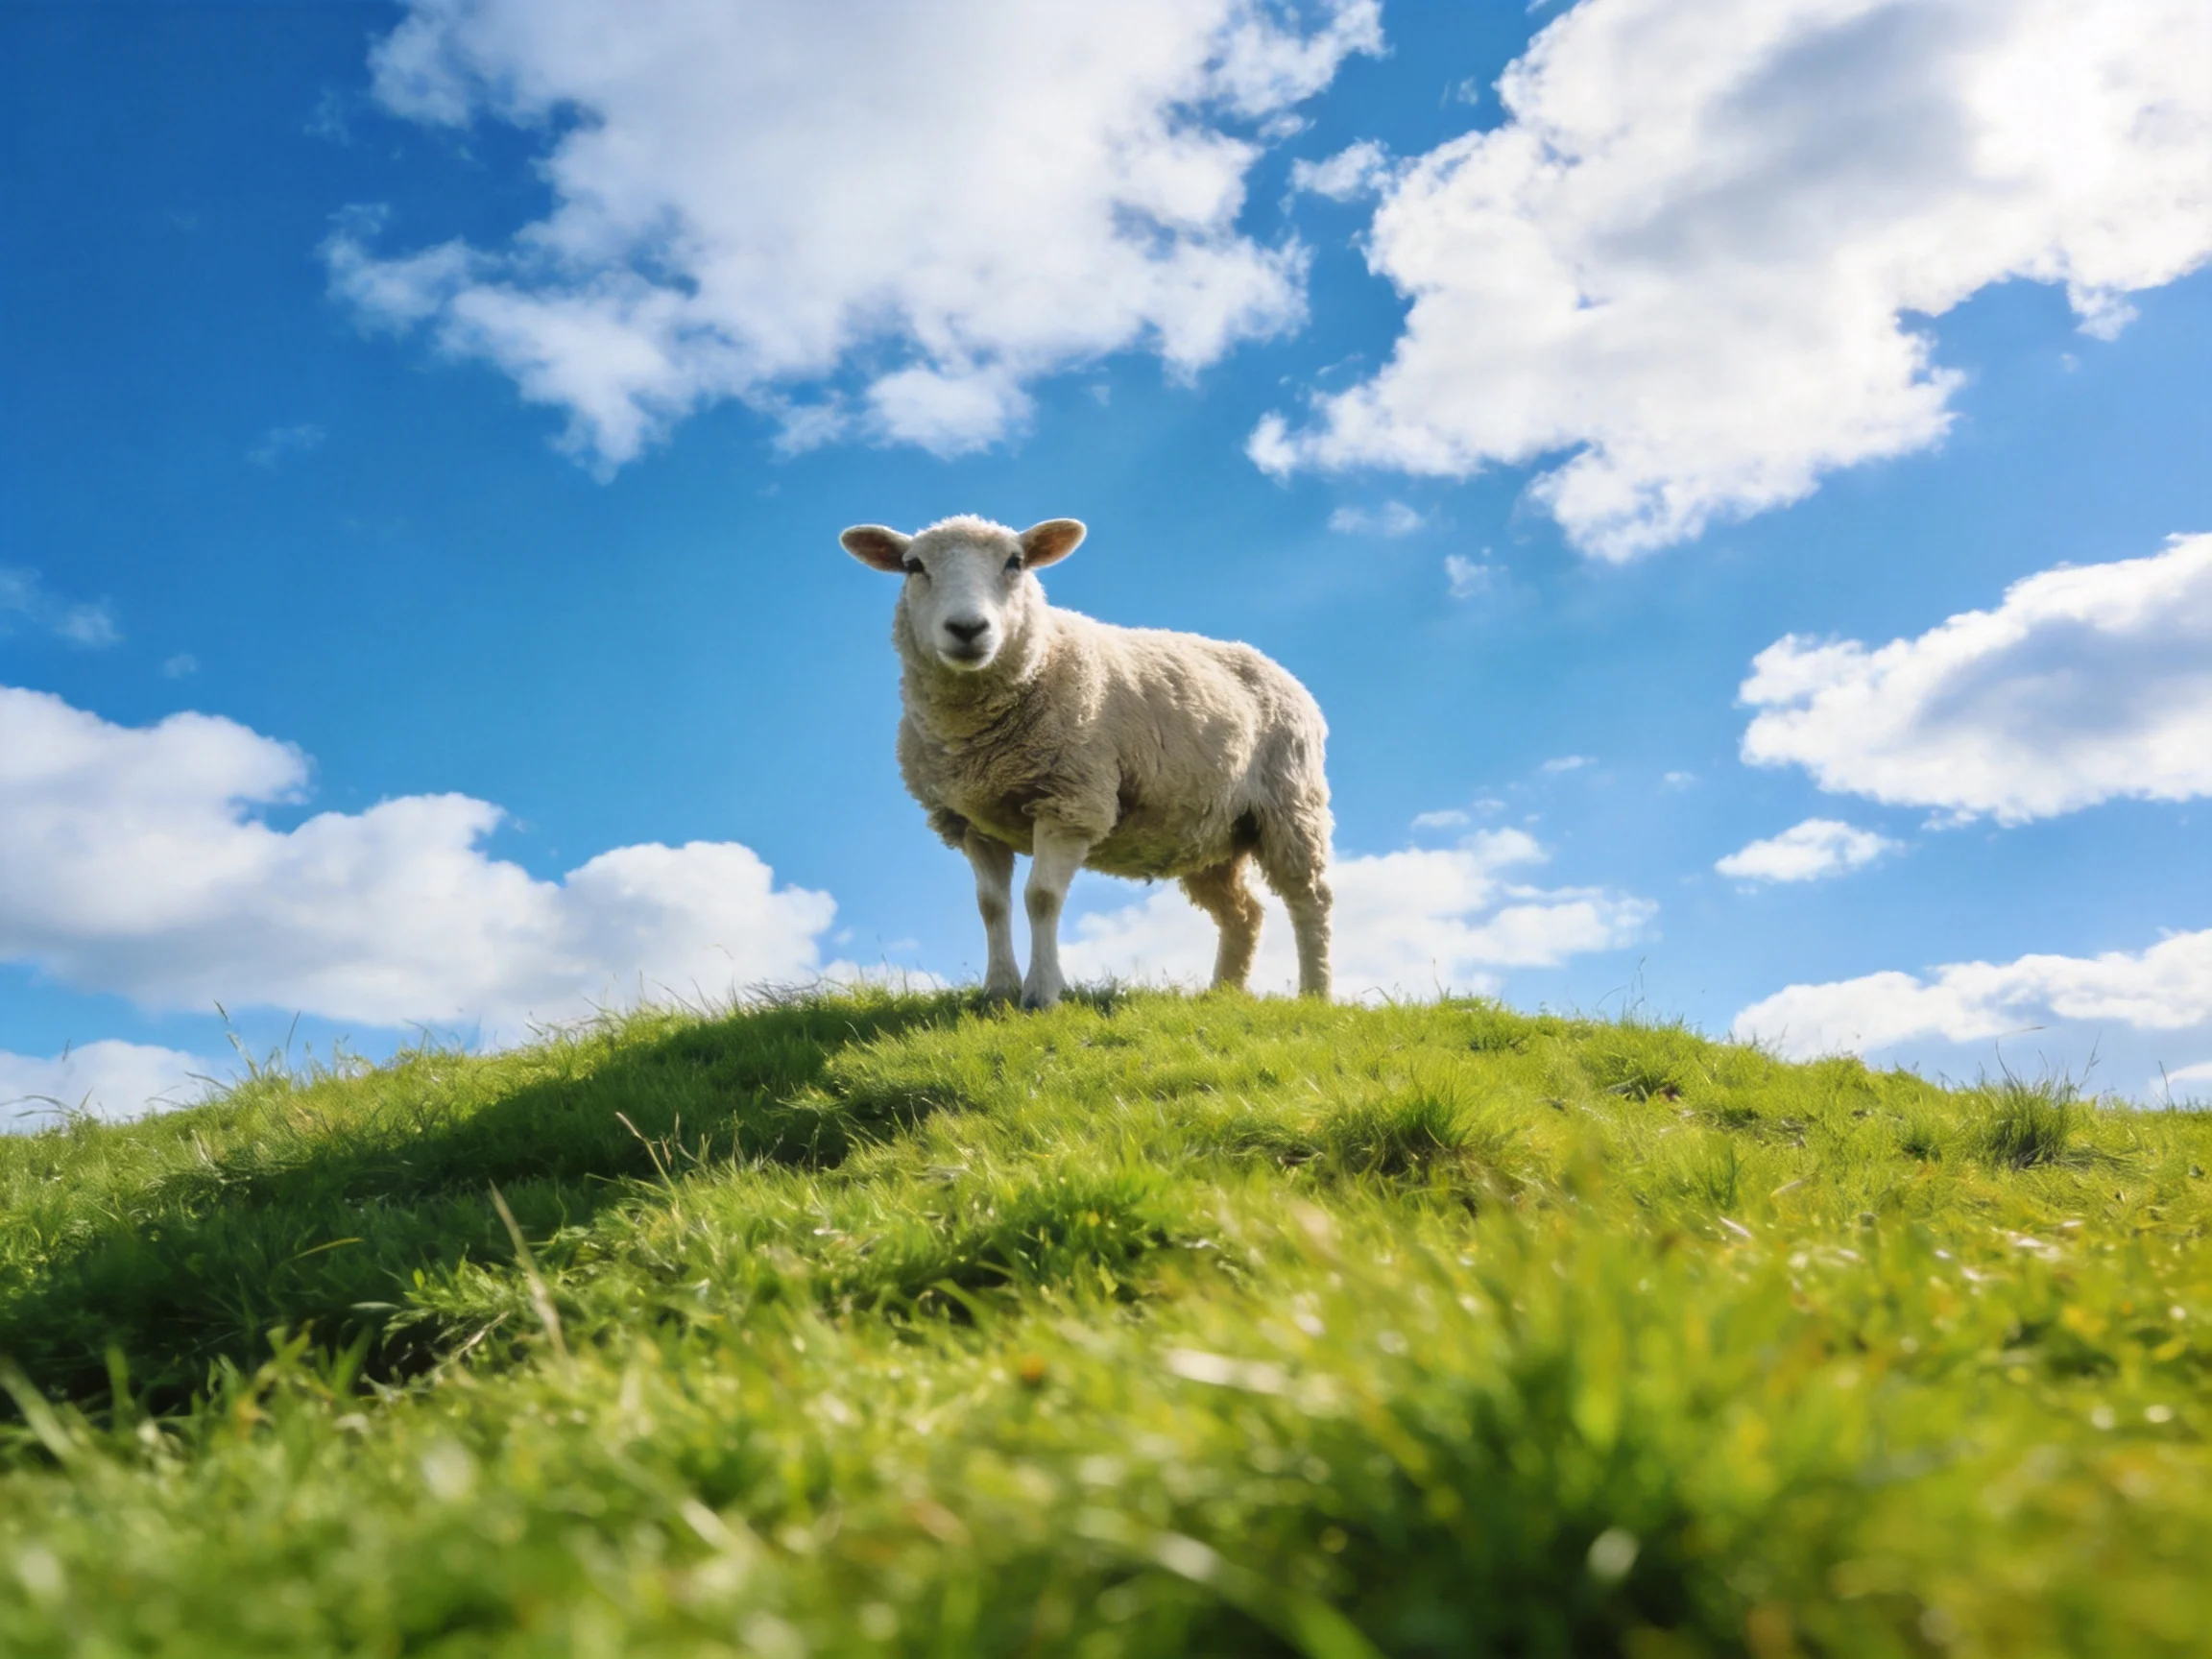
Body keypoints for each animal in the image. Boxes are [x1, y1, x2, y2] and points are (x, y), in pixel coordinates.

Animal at [840, 513, 1333, 1010]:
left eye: (1015, 562)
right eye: (914, 566)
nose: (967, 628)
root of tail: (1272, 665)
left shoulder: (1070, 802)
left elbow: (1040, 897)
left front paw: (1041, 994)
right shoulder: (973, 821)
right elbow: (991, 906)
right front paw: (998, 993)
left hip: (1290, 807)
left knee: (1311, 900)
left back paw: (1315, 995)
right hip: (1209, 832)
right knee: (1243, 913)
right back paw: (1222, 994)